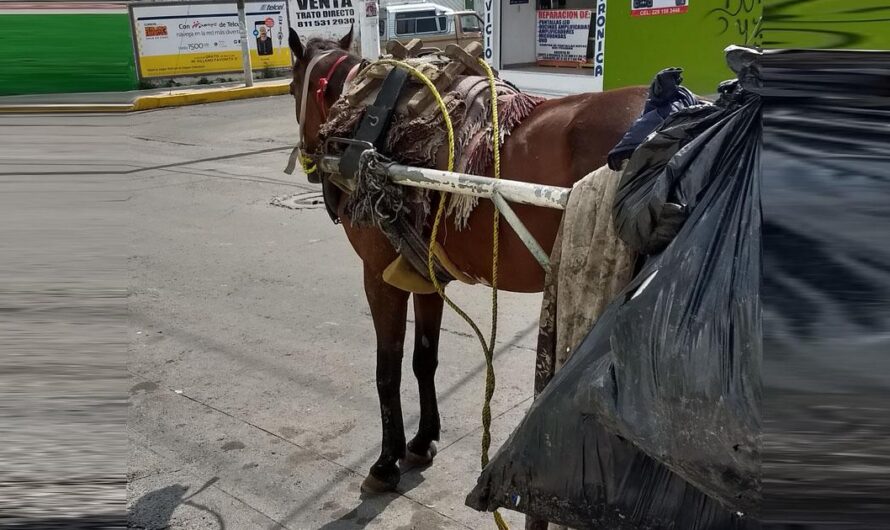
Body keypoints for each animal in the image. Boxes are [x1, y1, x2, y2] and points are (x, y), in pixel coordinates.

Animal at [290, 27, 644, 490]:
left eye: (291, 88)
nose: (312, 164)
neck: (367, 119)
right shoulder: (423, 273)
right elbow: (424, 360)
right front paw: (422, 439)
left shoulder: (378, 276)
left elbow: (387, 371)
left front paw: (385, 462)